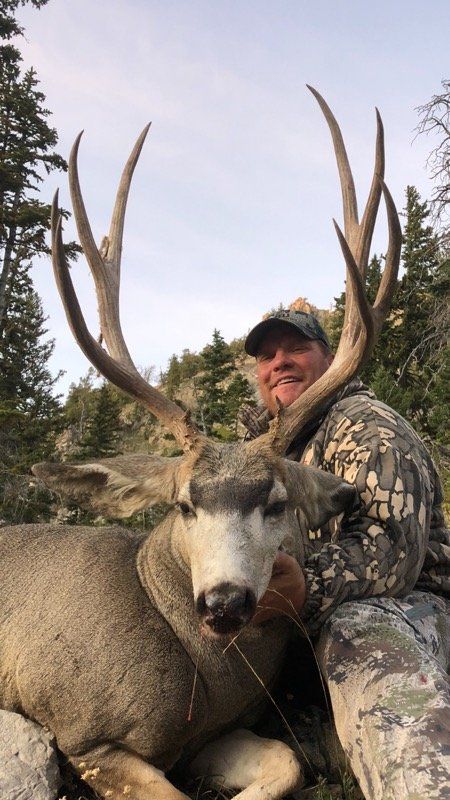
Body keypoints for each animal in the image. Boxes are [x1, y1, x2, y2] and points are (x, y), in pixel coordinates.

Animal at [0, 88, 401, 800]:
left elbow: (286, 760)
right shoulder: (82, 733)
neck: (202, 678)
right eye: (184, 504)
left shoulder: (209, 736)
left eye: (276, 502)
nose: (223, 603)